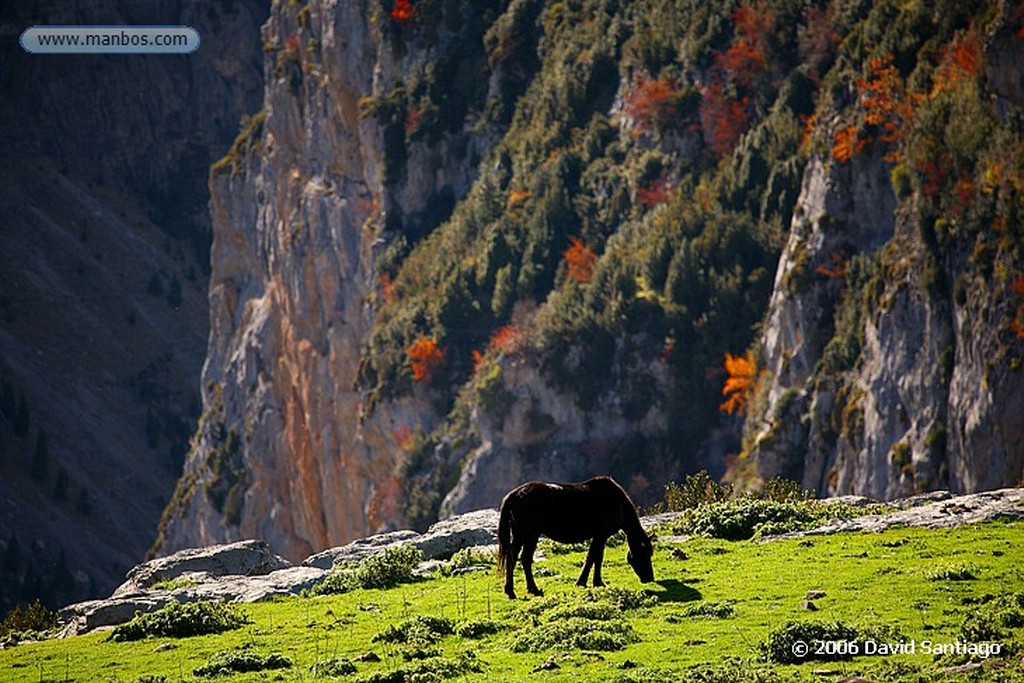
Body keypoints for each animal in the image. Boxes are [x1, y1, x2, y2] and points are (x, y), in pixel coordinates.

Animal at [497, 475, 655, 598]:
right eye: (644, 554)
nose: (650, 578)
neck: (617, 502)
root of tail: (513, 495)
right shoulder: (600, 535)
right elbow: (592, 557)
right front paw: (583, 582)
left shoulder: (600, 536)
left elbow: (597, 557)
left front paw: (597, 582)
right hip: (531, 535)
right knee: (525, 559)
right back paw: (533, 589)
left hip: (518, 535)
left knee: (512, 558)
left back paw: (510, 591)